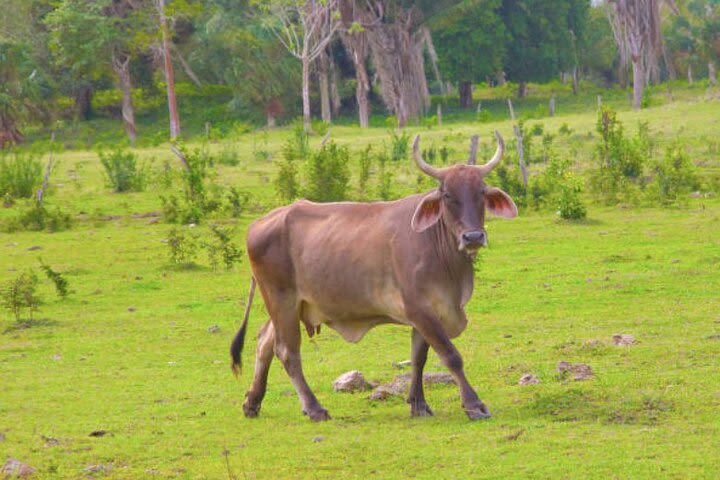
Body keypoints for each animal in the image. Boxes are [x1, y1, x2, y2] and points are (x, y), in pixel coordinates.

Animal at [231, 130, 516, 420]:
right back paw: (314, 408)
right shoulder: (419, 309)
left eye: (481, 192)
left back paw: (252, 402)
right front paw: (474, 404)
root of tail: (259, 223)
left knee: (264, 341)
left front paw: (418, 403)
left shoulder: (428, 311)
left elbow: (419, 357)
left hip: (290, 305)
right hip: (281, 299)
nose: (473, 237)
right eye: (447, 194)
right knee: (287, 351)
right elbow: (450, 355)